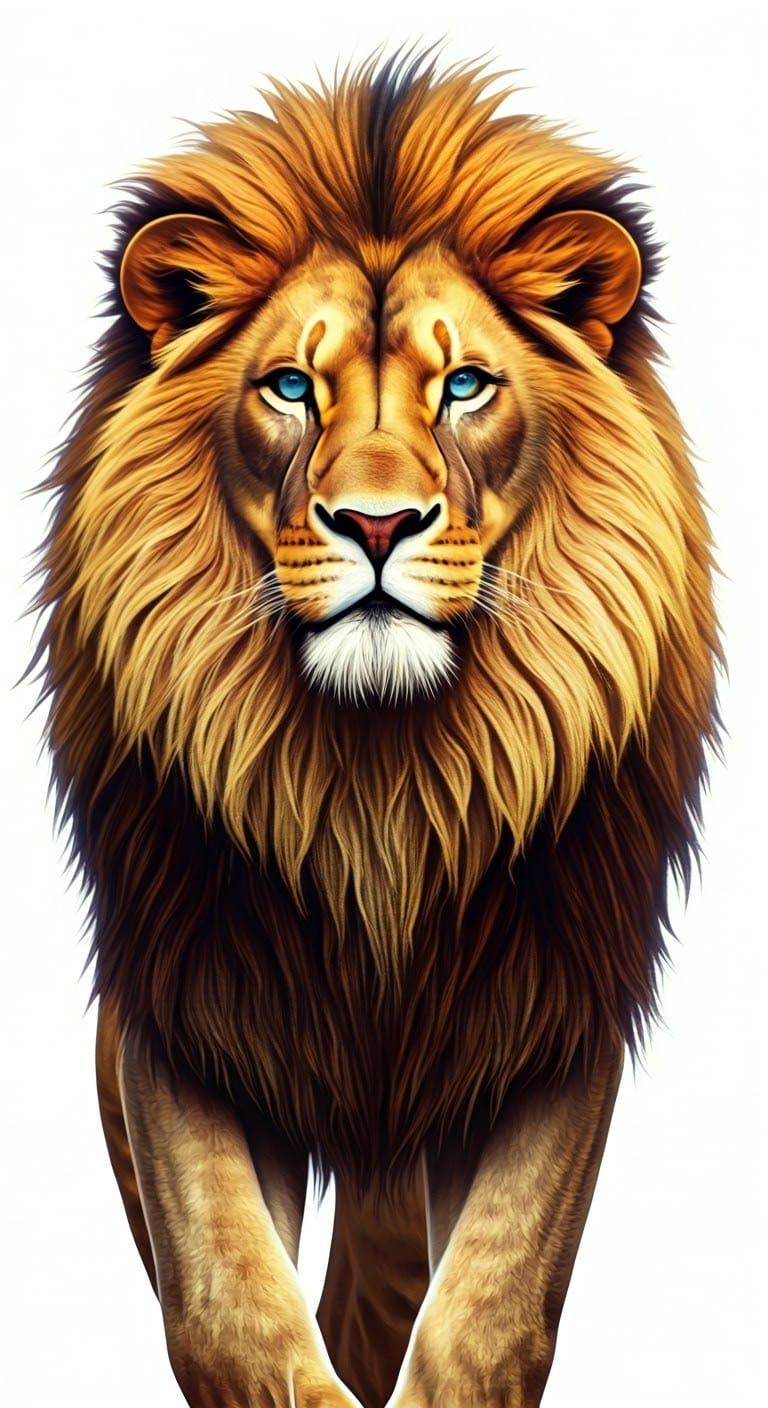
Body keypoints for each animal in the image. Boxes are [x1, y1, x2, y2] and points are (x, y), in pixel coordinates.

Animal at [34, 44, 720, 1408]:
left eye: (465, 385)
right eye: (293, 387)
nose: (378, 522)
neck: (381, 787)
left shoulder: (553, 1009)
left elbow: (490, 1309)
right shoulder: (183, 1008)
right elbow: (229, 1305)